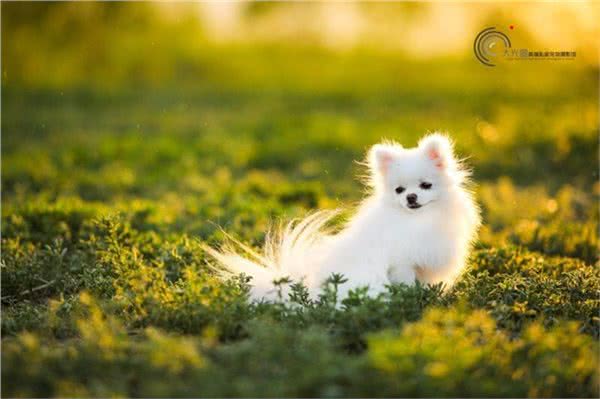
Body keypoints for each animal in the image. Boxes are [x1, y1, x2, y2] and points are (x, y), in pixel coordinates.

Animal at [204, 133, 480, 302]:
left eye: (425, 185)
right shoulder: (403, 264)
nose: (411, 197)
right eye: (399, 190)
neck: (419, 221)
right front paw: (410, 301)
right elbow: (406, 285)